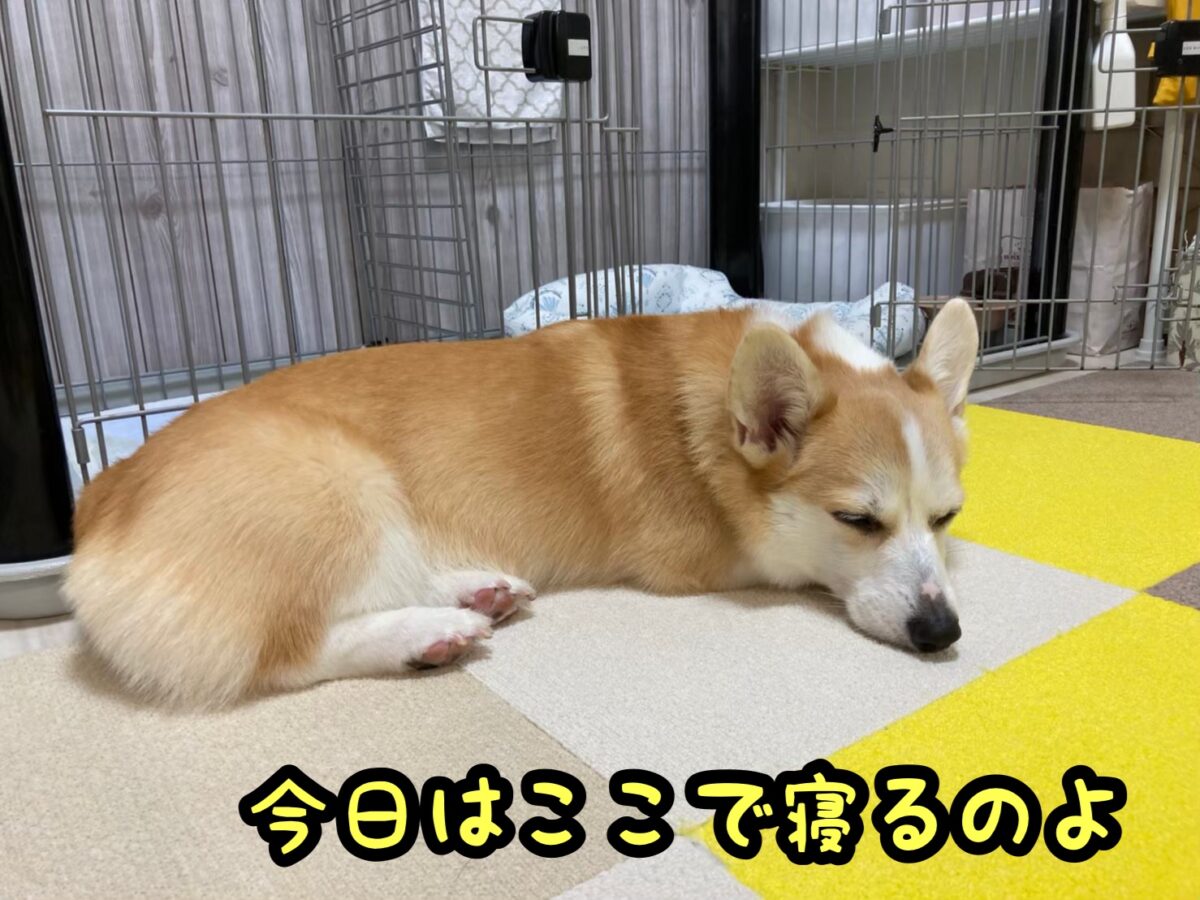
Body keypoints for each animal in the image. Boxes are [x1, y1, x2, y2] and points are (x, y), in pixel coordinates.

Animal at [64, 298, 979, 706]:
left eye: (947, 517)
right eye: (856, 521)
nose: (943, 634)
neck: (717, 429)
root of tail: (96, 507)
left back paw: (479, 590)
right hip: (343, 486)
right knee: (283, 648)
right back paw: (427, 635)